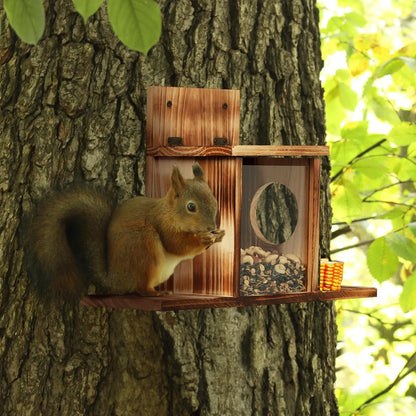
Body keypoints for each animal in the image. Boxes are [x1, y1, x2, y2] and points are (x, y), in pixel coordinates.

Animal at [25, 164, 224, 298]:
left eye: (214, 200)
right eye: (191, 207)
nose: (211, 228)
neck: (170, 212)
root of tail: (115, 279)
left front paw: (219, 236)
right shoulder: (161, 224)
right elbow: (176, 244)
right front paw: (203, 239)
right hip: (142, 244)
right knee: (140, 287)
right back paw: (154, 293)